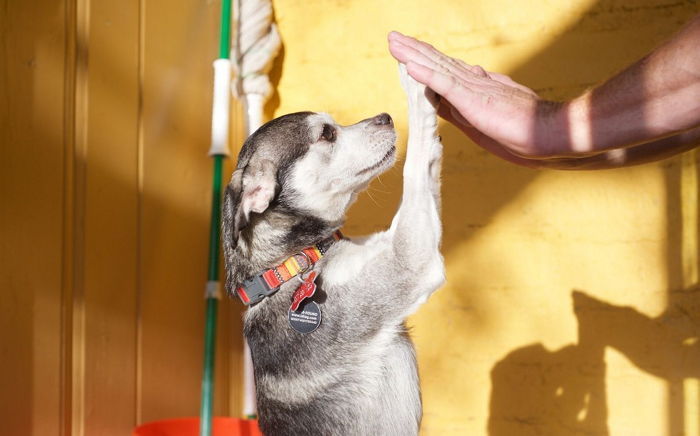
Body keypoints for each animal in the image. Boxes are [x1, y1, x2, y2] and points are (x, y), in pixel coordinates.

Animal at [221, 65, 446, 436]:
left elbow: (426, 172)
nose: (385, 117)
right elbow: (414, 166)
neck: (295, 263)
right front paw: (416, 87)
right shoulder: (410, 258)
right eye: (327, 134)